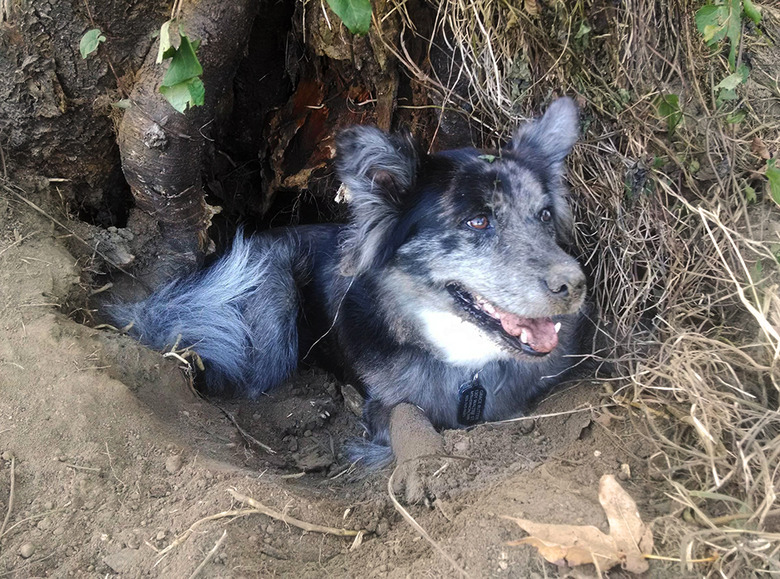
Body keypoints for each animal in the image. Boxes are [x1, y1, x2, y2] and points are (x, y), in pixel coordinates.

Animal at [111, 96, 592, 466]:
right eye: (477, 221)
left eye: (544, 215)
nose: (575, 286)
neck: (464, 362)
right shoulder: (383, 404)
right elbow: (408, 416)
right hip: (265, 288)